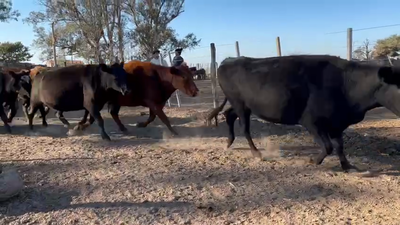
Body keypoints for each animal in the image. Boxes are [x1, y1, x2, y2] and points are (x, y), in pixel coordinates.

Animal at [206, 55, 400, 171]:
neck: (347, 83)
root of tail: (228, 61)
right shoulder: (311, 121)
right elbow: (328, 147)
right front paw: (313, 161)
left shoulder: (336, 124)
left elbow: (339, 146)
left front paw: (347, 166)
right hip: (240, 104)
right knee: (244, 128)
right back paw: (256, 153)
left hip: (243, 105)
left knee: (229, 115)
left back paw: (229, 142)